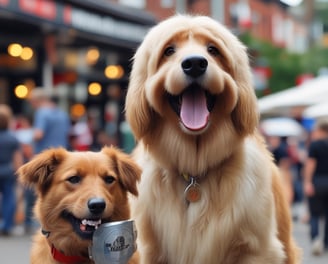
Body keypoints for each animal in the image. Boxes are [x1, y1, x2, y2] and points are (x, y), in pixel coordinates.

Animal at [126, 14, 302, 264]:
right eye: (169, 50)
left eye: (213, 50)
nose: (195, 64)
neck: (195, 172)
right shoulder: (149, 249)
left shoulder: (256, 249)